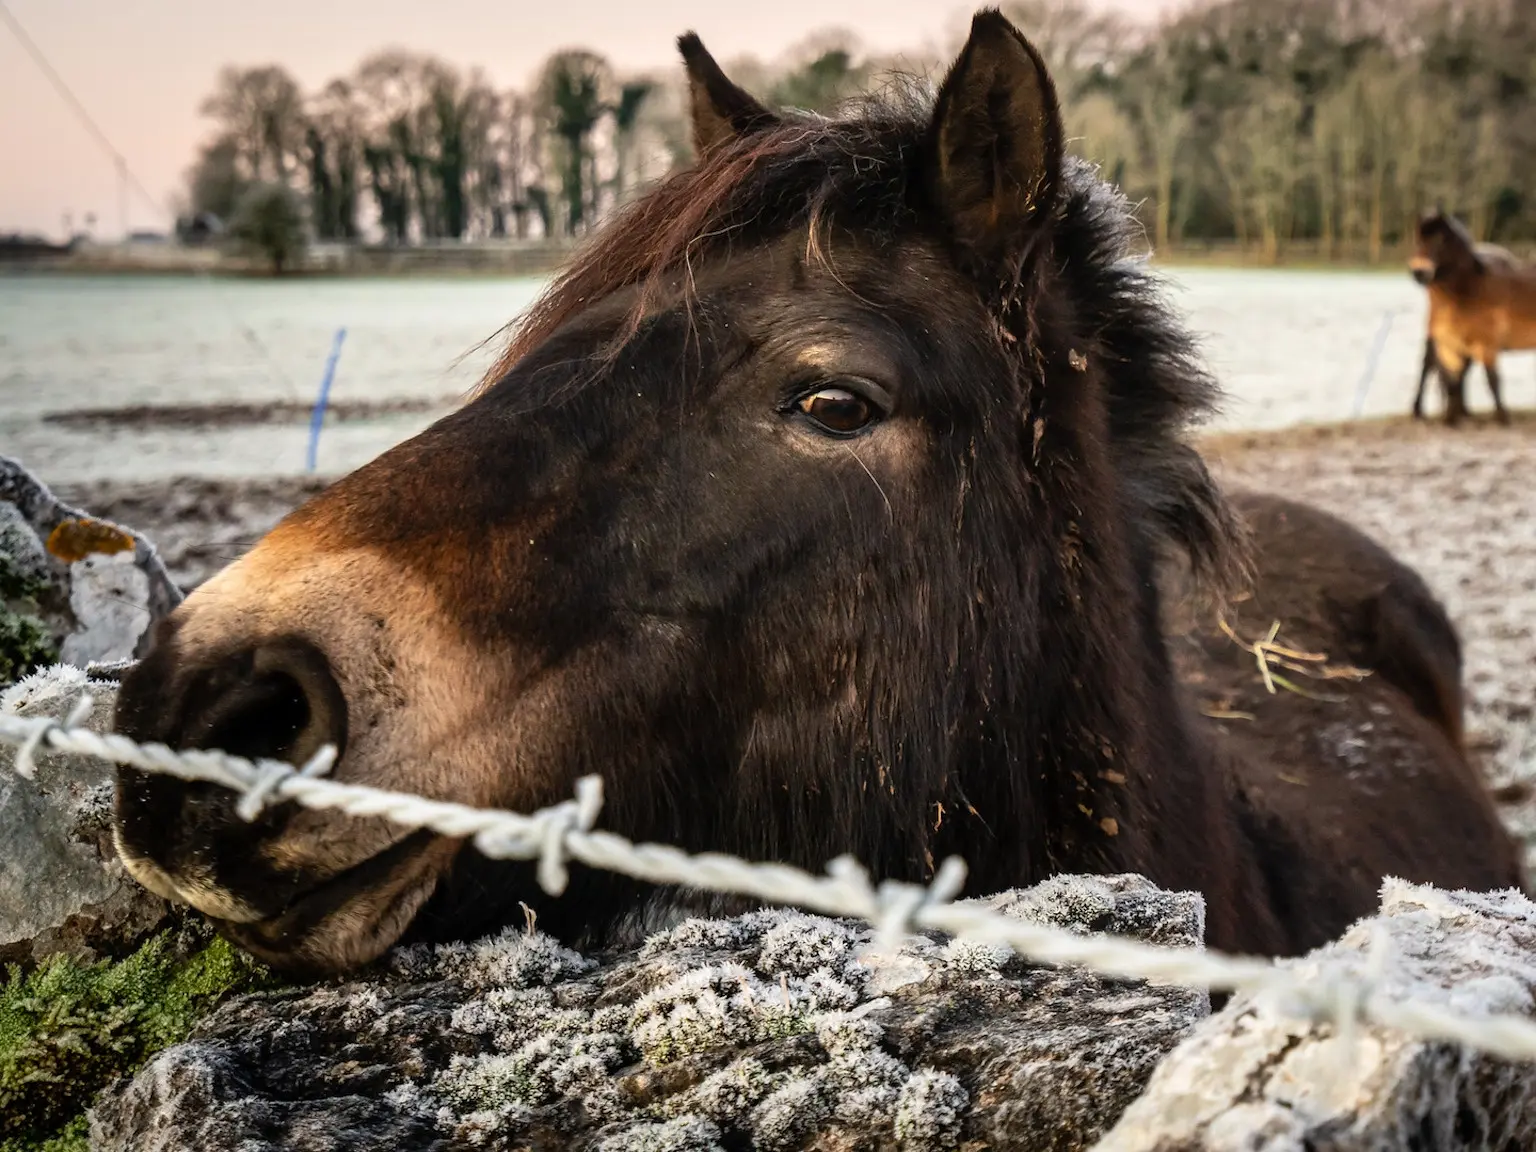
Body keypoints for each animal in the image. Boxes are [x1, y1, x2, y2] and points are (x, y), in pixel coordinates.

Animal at [1406, 210, 1529, 427]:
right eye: (1417, 238)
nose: (1420, 272)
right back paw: (1420, 409)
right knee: (1429, 363)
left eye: (1441, 240)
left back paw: (1461, 410)